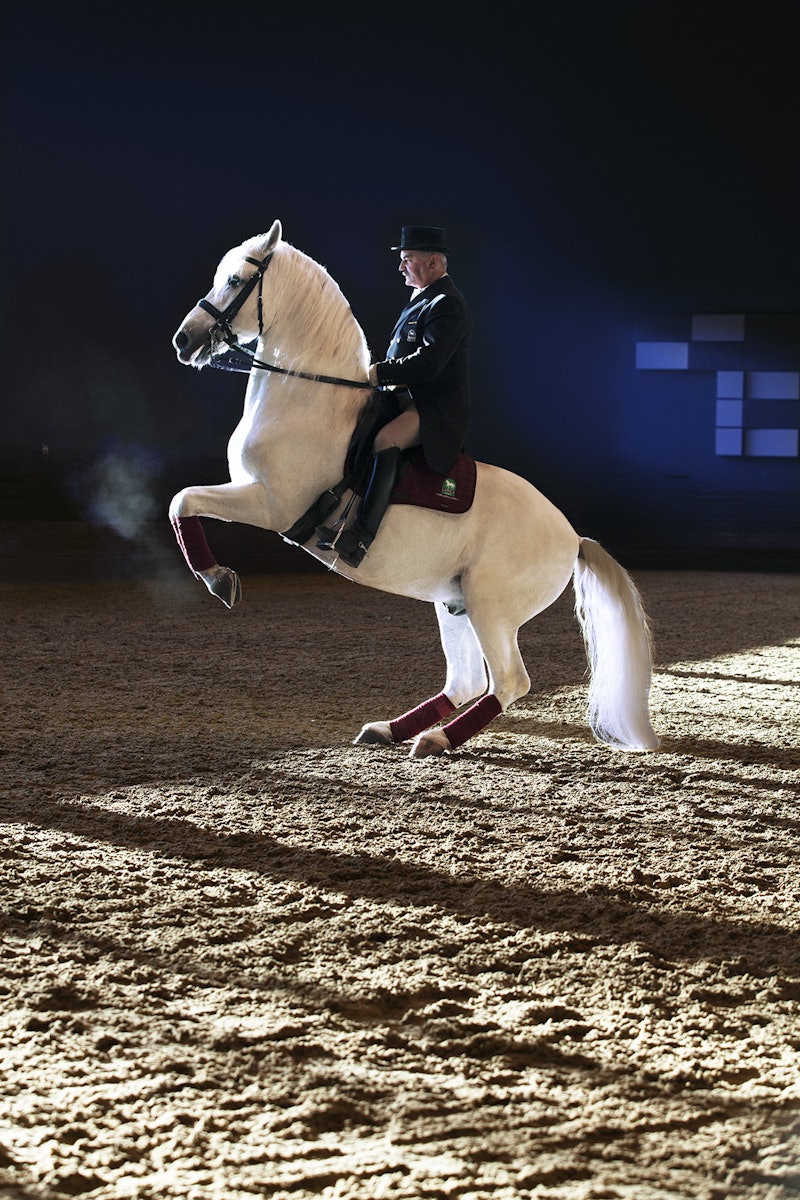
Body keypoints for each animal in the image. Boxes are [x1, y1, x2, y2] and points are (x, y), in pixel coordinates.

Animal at [170, 220, 659, 758]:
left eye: (236, 281)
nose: (184, 340)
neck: (307, 397)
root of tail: (572, 537)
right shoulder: (255, 493)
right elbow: (182, 501)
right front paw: (219, 578)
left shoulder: (270, 502)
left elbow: (182, 500)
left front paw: (219, 579)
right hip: (454, 601)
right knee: (466, 681)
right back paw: (390, 729)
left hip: (490, 605)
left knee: (507, 681)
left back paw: (435, 737)